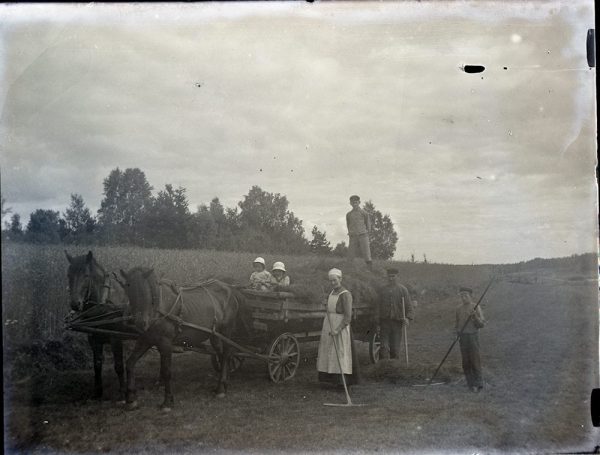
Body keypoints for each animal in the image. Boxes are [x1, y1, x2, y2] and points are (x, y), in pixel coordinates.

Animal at [64, 249, 127, 402]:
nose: (75, 304)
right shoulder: (94, 339)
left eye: (86, 275)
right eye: (69, 275)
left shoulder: (116, 338)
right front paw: (97, 392)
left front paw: (123, 393)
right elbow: (97, 364)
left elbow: (118, 365)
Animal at [119, 268, 246, 414]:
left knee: (226, 354)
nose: (140, 323)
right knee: (221, 354)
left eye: (146, 291)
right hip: (215, 334)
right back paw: (224, 381)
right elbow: (129, 363)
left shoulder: (166, 343)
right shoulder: (145, 339)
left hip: (226, 330)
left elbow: (167, 371)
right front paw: (131, 400)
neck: (158, 310)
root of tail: (230, 288)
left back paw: (220, 389)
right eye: (128, 289)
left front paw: (167, 402)